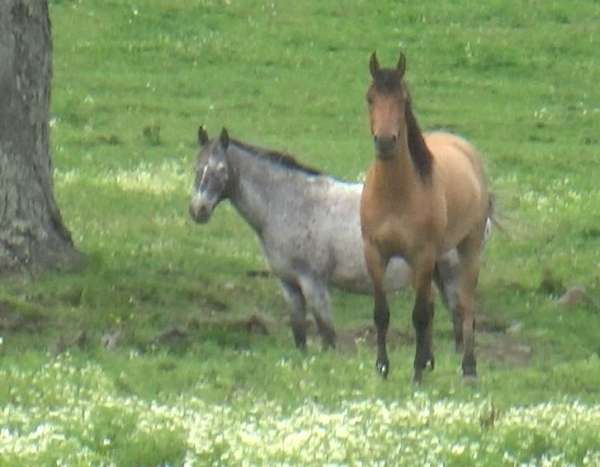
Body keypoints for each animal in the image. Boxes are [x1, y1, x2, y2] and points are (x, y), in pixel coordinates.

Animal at [190, 128, 476, 352]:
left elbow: (327, 335)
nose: (198, 210)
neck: (289, 203)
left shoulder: (313, 282)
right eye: (197, 168)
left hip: (449, 274)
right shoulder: (289, 284)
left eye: (221, 170)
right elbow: (299, 334)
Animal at [358, 51, 490, 382]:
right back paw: (431, 359)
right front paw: (383, 367)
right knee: (432, 304)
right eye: (370, 97)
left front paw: (416, 372)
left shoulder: (422, 254)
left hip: (467, 248)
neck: (395, 193)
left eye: (402, 99)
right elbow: (382, 313)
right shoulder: (374, 253)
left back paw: (468, 367)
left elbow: (419, 314)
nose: (385, 141)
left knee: (465, 304)